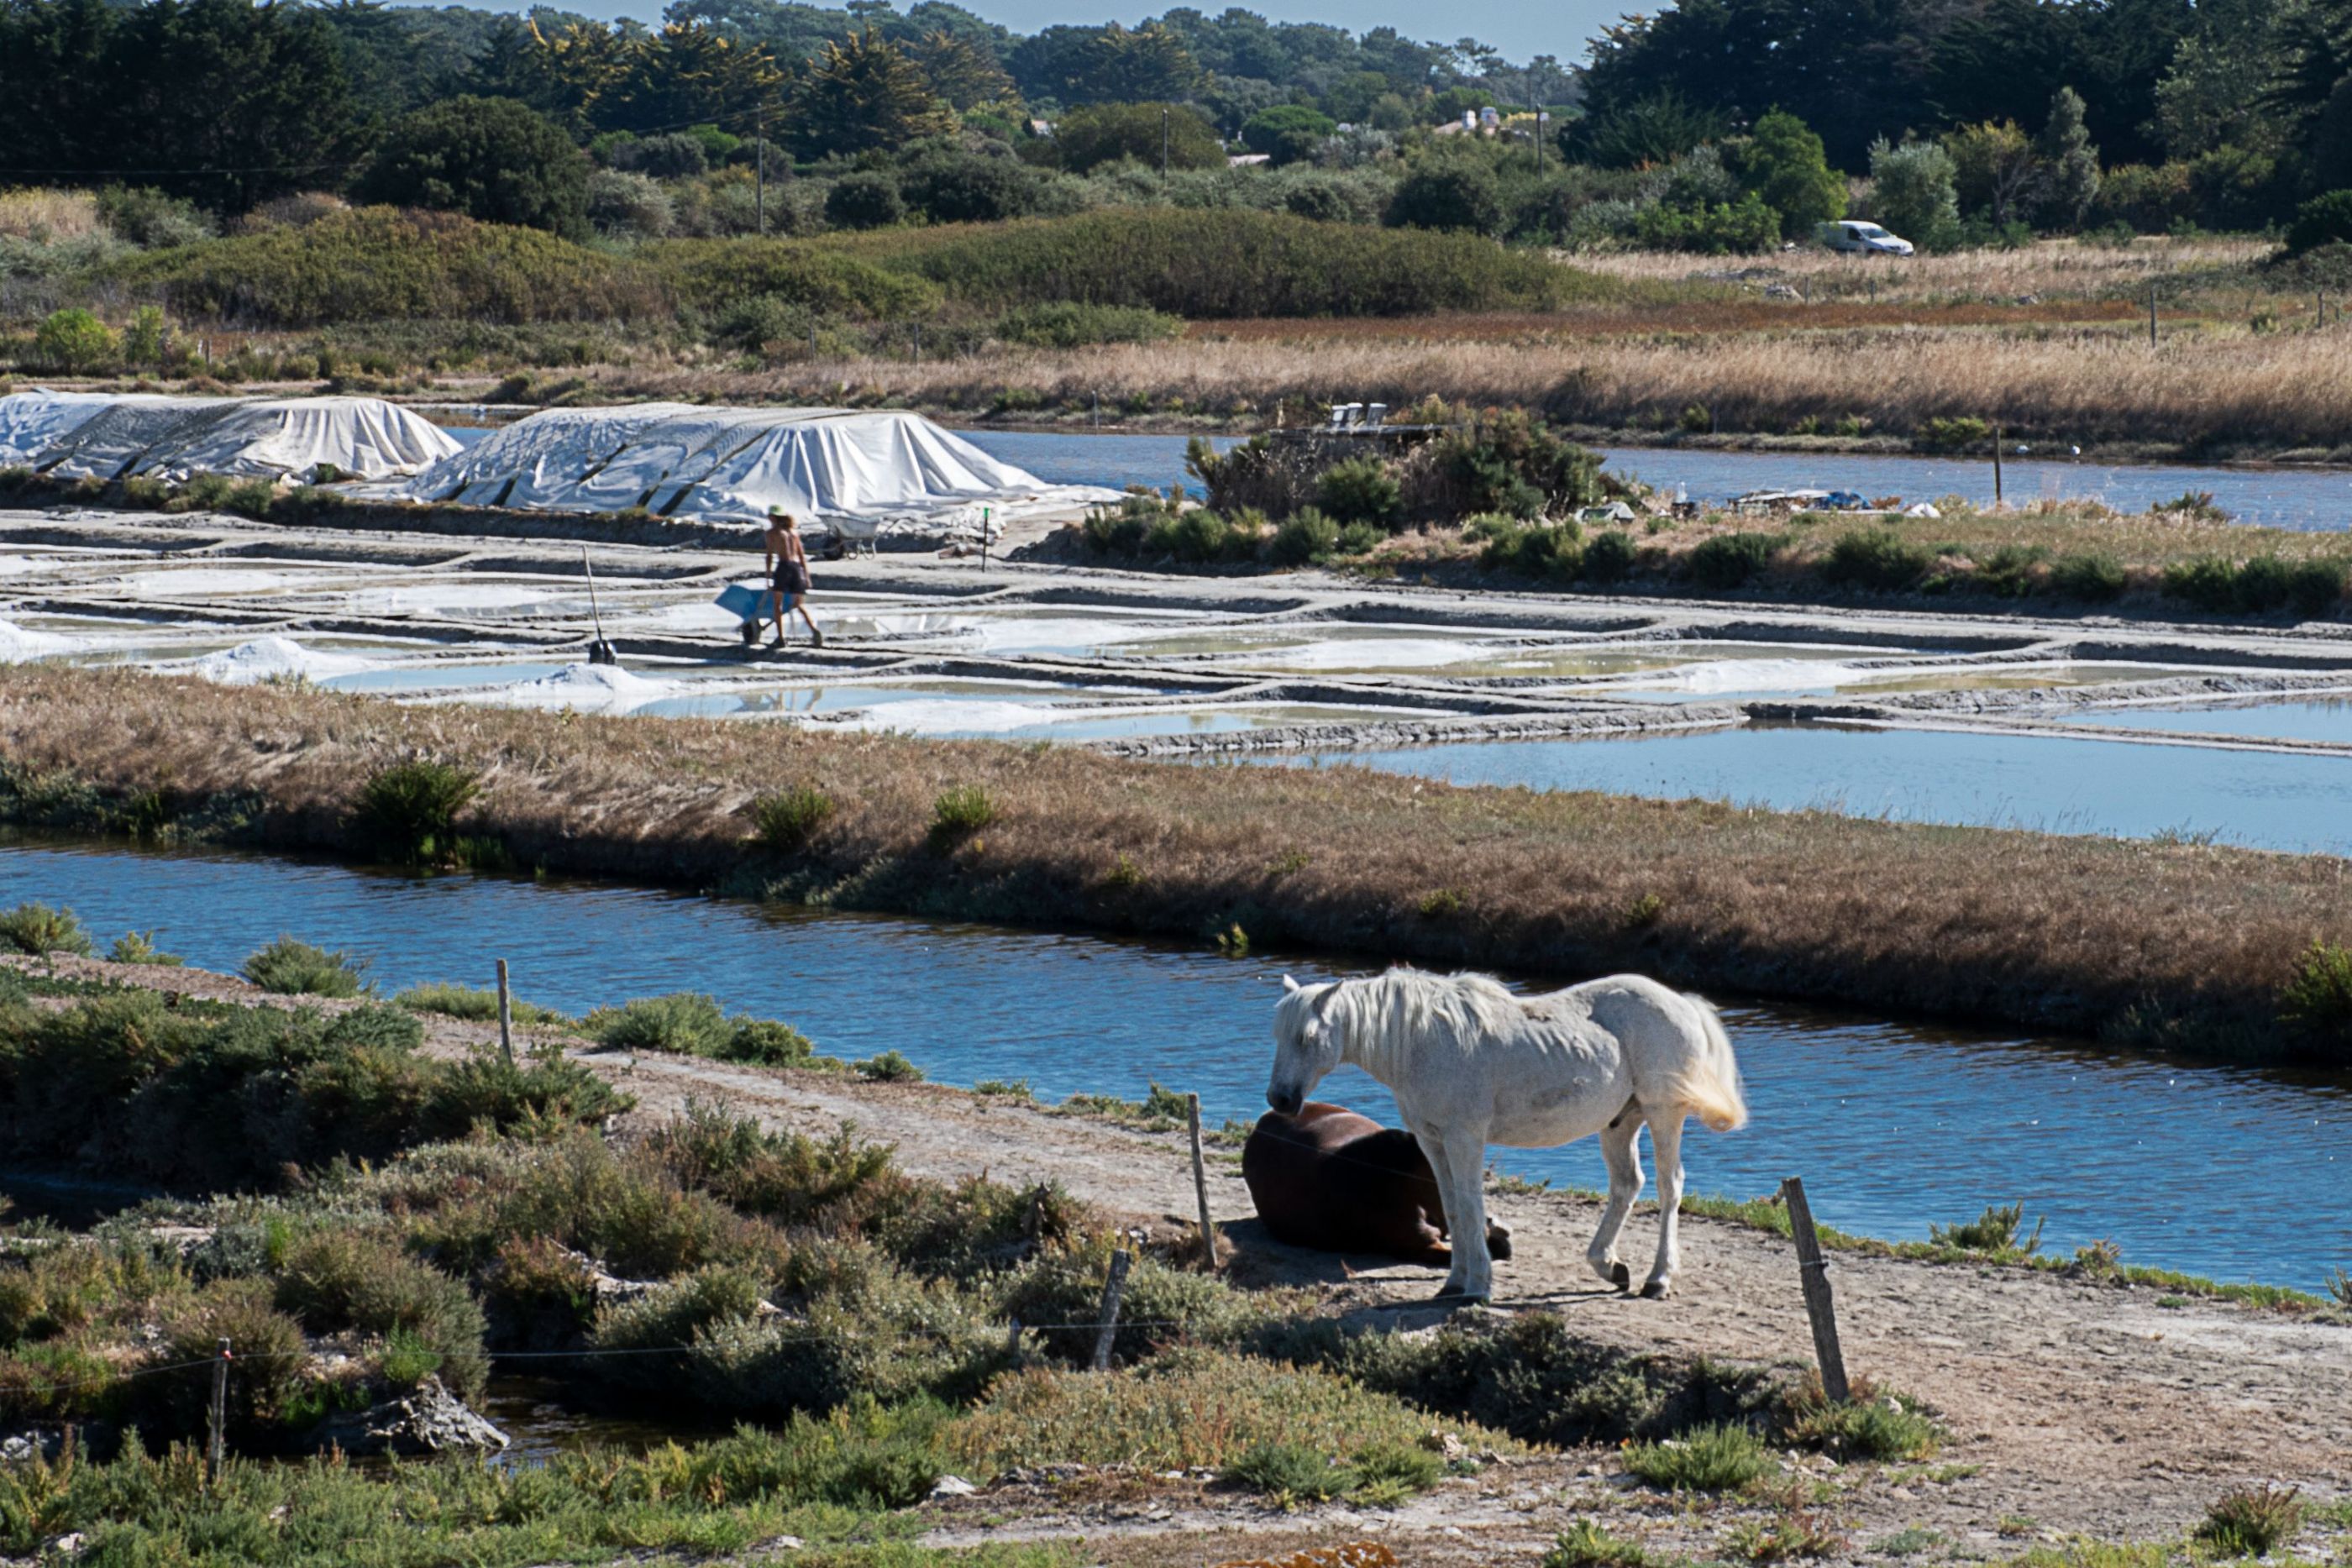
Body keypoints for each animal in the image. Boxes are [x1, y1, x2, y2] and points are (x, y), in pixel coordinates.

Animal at [1270, 968, 1750, 1298]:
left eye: (1307, 1036)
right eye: (1278, 1034)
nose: (1280, 1099)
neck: (1424, 1041)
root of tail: (1680, 1002)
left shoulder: (1464, 1138)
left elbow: (1469, 1205)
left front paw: (1478, 1286)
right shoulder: (1432, 1141)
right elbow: (1452, 1209)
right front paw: (1455, 1282)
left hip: (1663, 1113)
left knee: (1670, 1188)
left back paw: (1658, 1278)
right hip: (1621, 1122)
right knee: (1628, 1185)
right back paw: (1608, 1266)